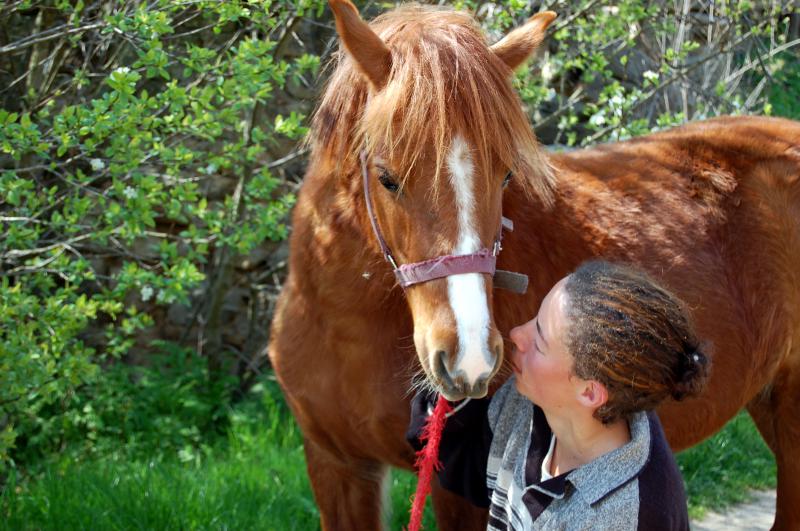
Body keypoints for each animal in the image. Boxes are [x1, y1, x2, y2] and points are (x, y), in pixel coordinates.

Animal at [268, 2, 800, 528]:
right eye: (386, 177)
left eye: (505, 174)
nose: (469, 358)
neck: (344, 328)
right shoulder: (337, 466)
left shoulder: (457, 492)